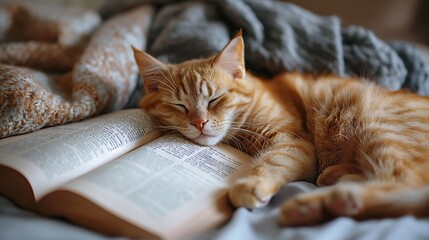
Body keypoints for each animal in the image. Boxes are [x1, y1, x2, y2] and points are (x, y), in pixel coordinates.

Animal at [132, 32, 428, 227]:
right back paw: (332, 185)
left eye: (215, 99)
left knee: (406, 185)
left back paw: (327, 201)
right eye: (179, 105)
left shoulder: (294, 141)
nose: (199, 122)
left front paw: (252, 184)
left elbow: (272, 161)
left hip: (376, 125)